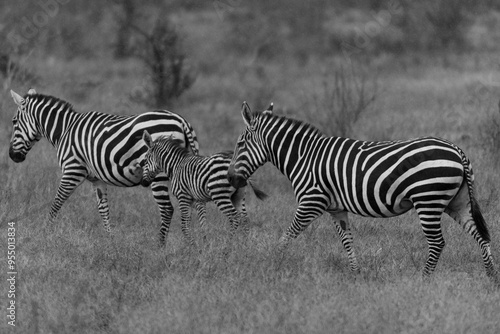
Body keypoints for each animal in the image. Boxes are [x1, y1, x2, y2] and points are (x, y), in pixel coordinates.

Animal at [8, 89, 200, 245]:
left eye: (14, 121)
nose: (12, 156)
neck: (64, 130)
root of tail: (180, 119)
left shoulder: (72, 170)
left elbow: (56, 203)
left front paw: (44, 234)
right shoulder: (97, 180)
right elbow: (104, 210)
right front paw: (110, 242)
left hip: (158, 172)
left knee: (167, 209)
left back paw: (160, 247)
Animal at [139, 132, 268, 247]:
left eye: (144, 161)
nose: (143, 183)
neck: (175, 166)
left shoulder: (183, 197)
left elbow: (184, 225)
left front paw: (192, 248)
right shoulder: (198, 200)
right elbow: (202, 223)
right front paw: (204, 245)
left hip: (220, 195)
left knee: (235, 218)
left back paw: (228, 245)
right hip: (238, 196)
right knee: (244, 219)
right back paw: (245, 247)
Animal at [228, 101, 496, 282]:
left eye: (240, 144)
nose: (230, 178)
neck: (303, 157)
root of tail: (457, 150)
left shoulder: (311, 202)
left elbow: (287, 235)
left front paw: (271, 264)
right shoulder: (336, 209)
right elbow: (347, 241)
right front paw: (356, 274)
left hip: (428, 201)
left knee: (438, 242)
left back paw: (424, 279)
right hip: (457, 202)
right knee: (481, 237)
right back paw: (492, 276)